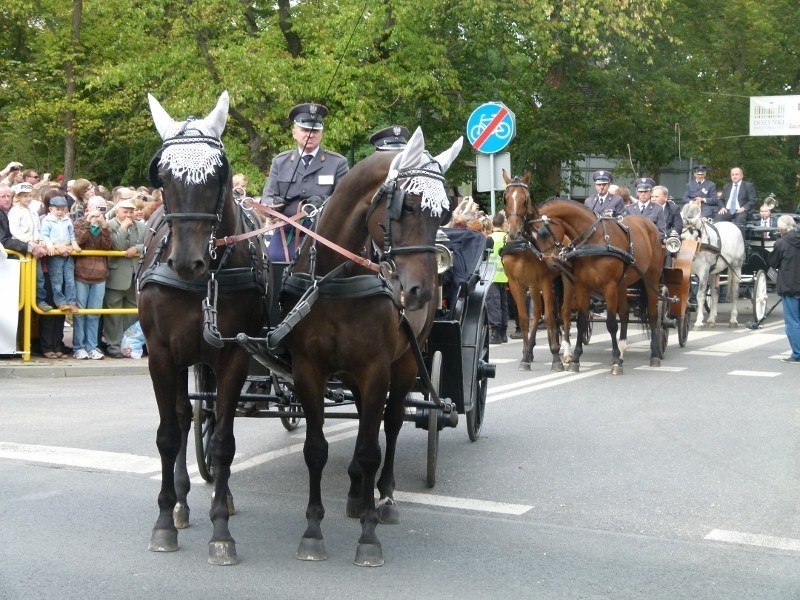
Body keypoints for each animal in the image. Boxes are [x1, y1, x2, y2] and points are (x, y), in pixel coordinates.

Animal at [136, 91, 264, 564]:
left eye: (217, 174)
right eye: (163, 175)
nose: (188, 261)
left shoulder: (234, 355)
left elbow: (224, 441)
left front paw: (221, 531)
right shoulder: (161, 356)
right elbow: (169, 434)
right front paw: (162, 519)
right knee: (184, 416)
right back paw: (180, 504)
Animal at [278, 127, 462, 568]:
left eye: (444, 212)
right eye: (407, 206)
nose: (419, 291)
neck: (336, 280)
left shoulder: (376, 368)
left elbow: (370, 449)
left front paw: (368, 536)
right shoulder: (309, 370)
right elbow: (316, 449)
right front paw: (313, 531)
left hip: (406, 362)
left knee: (389, 425)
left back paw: (385, 498)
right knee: (367, 417)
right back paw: (354, 493)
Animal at [504, 169, 572, 372]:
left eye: (525, 199)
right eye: (505, 198)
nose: (514, 232)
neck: (525, 246)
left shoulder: (545, 281)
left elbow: (549, 317)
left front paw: (556, 358)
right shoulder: (516, 284)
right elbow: (524, 318)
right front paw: (525, 356)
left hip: (565, 281)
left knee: (564, 312)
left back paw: (567, 352)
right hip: (533, 287)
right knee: (537, 314)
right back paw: (531, 350)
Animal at [528, 199, 664, 372]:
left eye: (543, 232)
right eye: (532, 237)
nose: (552, 264)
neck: (594, 240)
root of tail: (648, 223)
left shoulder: (609, 286)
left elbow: (611, 323)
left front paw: (615, 361)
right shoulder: (582, 286)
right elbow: (581, 321)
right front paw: (576, 359)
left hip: (651, 279)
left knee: (652, 315)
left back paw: (654, 354)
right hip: (622, 284)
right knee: (625, 313)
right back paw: (622, 351)